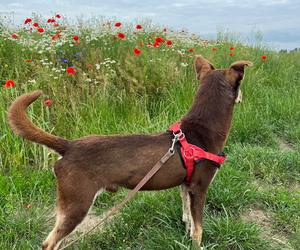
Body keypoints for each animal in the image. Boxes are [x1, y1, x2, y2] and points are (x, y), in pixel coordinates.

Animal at [7, 55, 251, 249]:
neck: (201, 129)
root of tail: (69, 145)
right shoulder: (199, 189)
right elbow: (199, 229)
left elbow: (188, 218)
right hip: (77, 205)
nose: (243, 98)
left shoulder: (186, 185)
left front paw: (186, 229)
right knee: (50, 242)